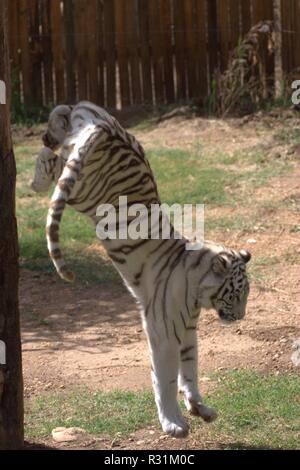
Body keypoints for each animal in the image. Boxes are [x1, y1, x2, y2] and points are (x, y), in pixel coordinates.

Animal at [31, 102, 251, 436]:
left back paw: (52, 130)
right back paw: (37, 176)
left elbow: (191, 369)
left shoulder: (188, 330)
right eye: (235, 295)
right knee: (53, 165)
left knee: (62, 116)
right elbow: (167, 377)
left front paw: (200, 408)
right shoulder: (164, 330)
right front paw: (173, 423)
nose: (240, 317)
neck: (198, 292)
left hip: (83, 139)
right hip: (85, 191)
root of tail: (104, 128)